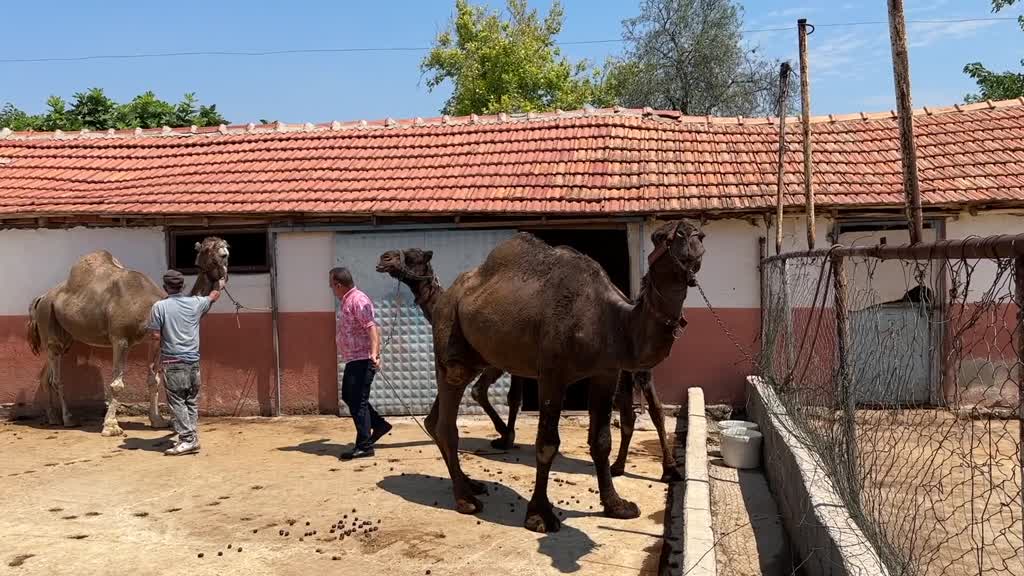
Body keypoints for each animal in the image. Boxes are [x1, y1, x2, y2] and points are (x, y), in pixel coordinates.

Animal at [27, 237, 229, 434]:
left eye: (225, 244)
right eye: (206, 249)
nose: (224, 254)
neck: (149, 305)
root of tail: (43, 297)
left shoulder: (155, 340)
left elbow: (154, 380)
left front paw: (157, 420)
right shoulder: (120, 339)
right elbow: (117, 384)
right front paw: (111, 426)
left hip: (65, 337)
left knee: (46, 375)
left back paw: (53, 417)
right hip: (49, 322)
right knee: (56, 378)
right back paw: (68, 419)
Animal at [374, 245, 679, 479]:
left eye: (413, 256)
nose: (384, 258)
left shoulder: (497, 364)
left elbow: (490, 394)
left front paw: (504, 436)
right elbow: (508, 397)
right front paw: (505, 435)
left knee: (651, 411)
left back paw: (665, 470)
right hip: (626, 371)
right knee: (633, 412)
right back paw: (623, 466)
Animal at [419, 218, 700, 528]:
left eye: (698, 233)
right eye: (660, 237)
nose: (691, 235)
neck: (610, 320)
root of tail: (445, 297)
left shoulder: (607, 372)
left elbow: (601, 440)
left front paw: (617, 506)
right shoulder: (553, 373)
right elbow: (547, 443)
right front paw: (540, 515)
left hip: (475, 355)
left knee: (437, 416)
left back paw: (472, 483)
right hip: (449, 330)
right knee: (448, 415)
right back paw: (466, 499)